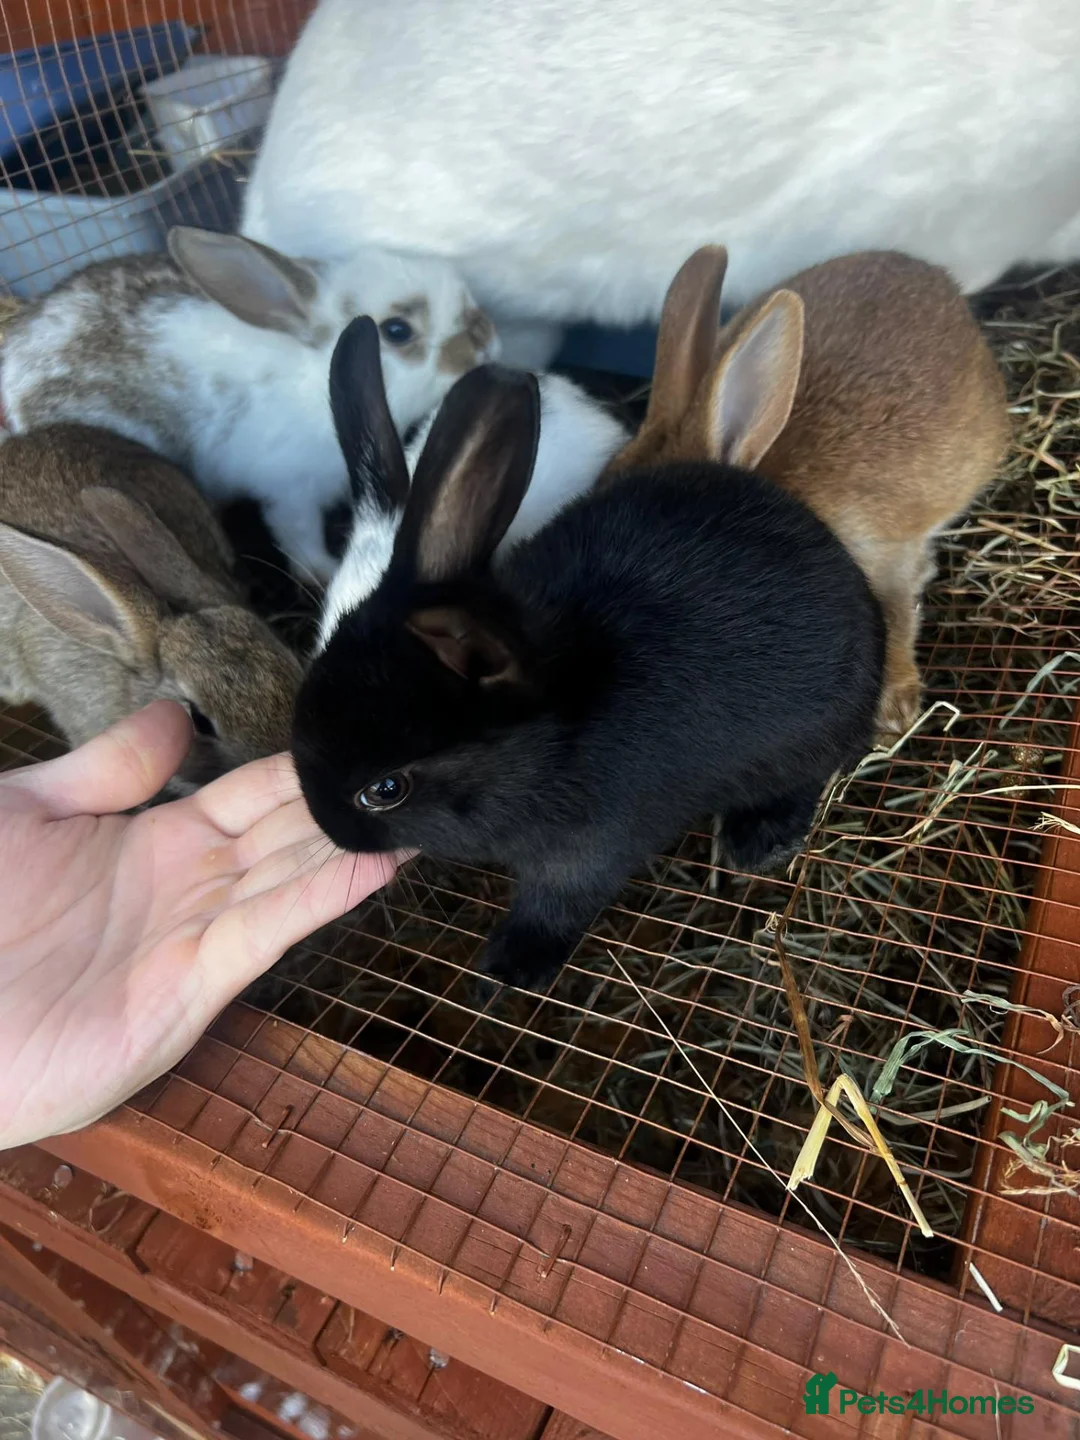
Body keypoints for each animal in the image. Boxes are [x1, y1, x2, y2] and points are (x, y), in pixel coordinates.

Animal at [0, 227, 497, 584]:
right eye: (397, 331)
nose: (488, 341)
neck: (315, 368)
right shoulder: (291, 491)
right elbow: (297, 535)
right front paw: (323, 570)